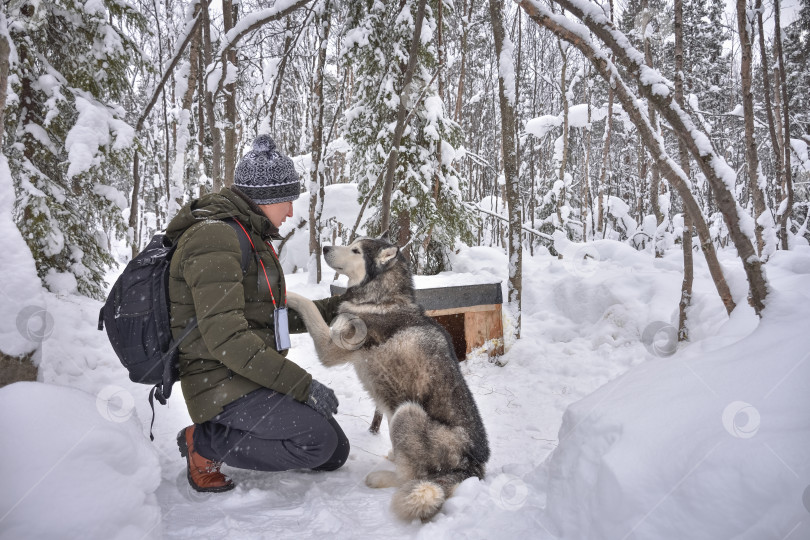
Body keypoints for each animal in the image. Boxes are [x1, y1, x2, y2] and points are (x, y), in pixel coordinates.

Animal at [284, 235, 486, 520]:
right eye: (351, 243)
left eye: (356, 250)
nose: (324, 247)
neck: (381, 298)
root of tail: (474, 467)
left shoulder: (330, 349)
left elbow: (308, 303)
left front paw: (286, 293)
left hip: (405, 413)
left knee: (410, 477)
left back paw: (380, 477)